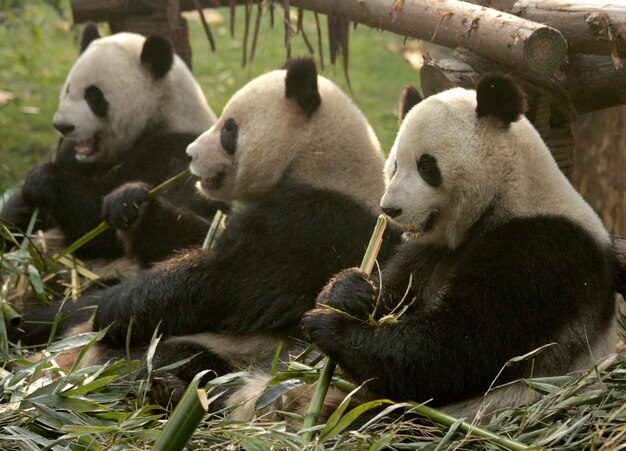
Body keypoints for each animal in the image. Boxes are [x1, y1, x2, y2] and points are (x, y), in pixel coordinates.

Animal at [0, 23, 224, 268]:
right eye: (68, 89)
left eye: (93, 96)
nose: (62, 126)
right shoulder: (71, 154)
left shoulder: (174, 151)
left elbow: (99, 231)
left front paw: (40, 179)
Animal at [13, 57, 400, 406]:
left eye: (229, 129)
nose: (189, 154)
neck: (320, 160)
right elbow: (192, 238)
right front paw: (130, 203)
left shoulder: (314, 223)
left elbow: (225, 279)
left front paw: (116, 310)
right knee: (63, 313)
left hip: (241, 353)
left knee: (183, 358)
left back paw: (159, 386)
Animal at [228, 73, 616, 424]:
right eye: (395, 164)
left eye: (427, 165)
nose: (390, 209)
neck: (509, 190)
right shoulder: (425, 252)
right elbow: (395, 295)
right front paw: (346, 292)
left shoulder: (540, 249)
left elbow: (462, 348)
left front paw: (330, 326)